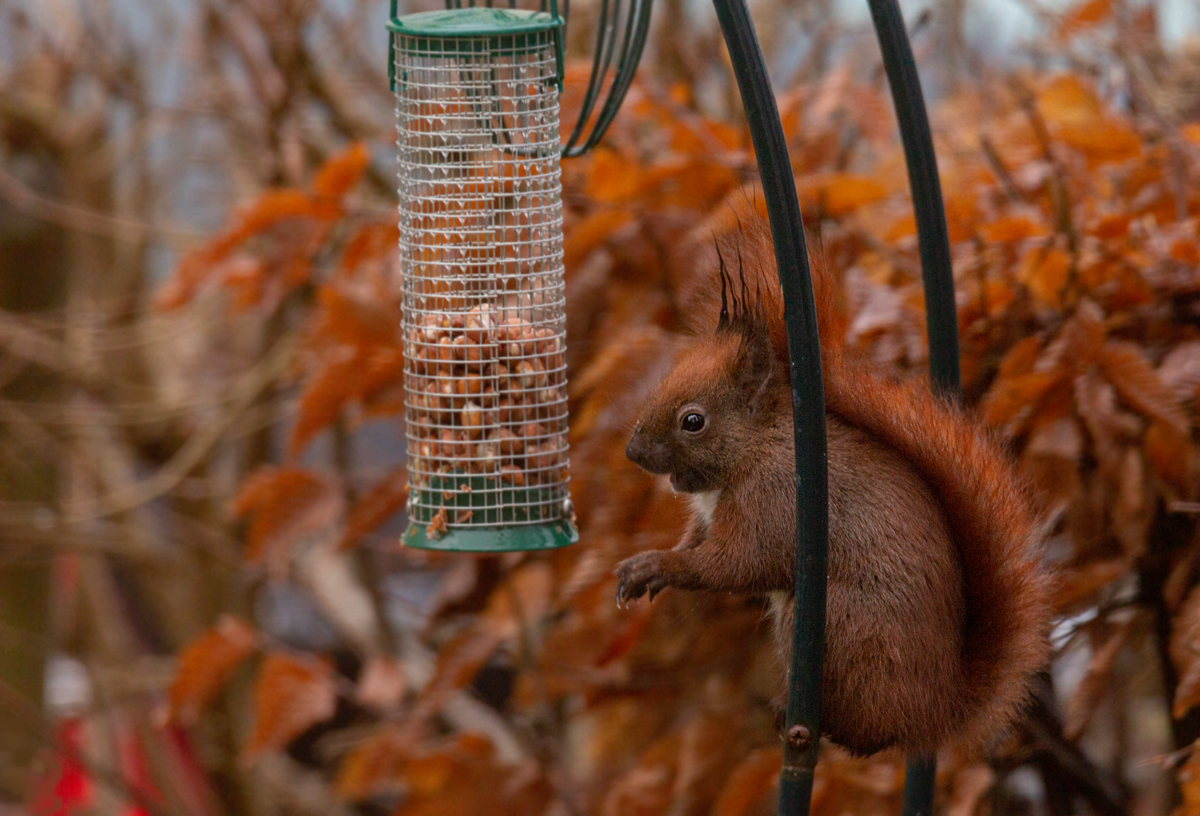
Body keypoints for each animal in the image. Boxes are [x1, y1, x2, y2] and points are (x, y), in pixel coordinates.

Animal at [619, 223, 1051, 758]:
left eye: (693, 421)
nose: (634, 452)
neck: (756, 447)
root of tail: (935, 710)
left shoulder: (777, 499)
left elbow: (739, 563)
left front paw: (660, 565)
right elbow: (698, 544)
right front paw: (642, 570)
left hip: (847, 628)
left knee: (870, 735)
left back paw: (813, 725)